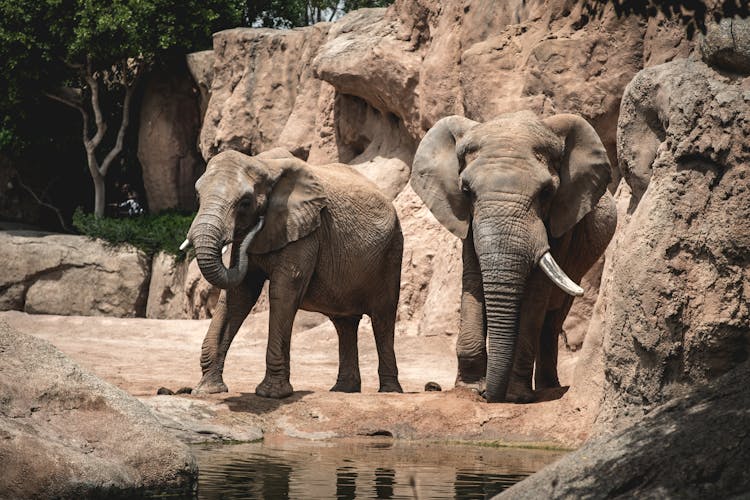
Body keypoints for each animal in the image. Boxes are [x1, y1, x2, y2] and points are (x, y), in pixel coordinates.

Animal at [187, 147, 406, 398]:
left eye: (245, 202)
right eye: (197, 196)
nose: (256, 224)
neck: (263, 164)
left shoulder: (307, 230)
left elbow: (283, 292)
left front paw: (272, 394)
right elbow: (239, 295)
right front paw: (207, 391)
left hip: (392, 251)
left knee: (382, 318)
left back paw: (389, 392)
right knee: (345, 323)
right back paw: (343, 390)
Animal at [414, 110, 620, 402]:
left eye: (546, 192)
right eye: (466, 191)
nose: (488, 394)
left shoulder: (560, 225)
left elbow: (536, 295)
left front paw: (515, 396)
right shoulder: (469, 225)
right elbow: (474, 282)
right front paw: (469, 390)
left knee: (552, 320)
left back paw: (547, 387)